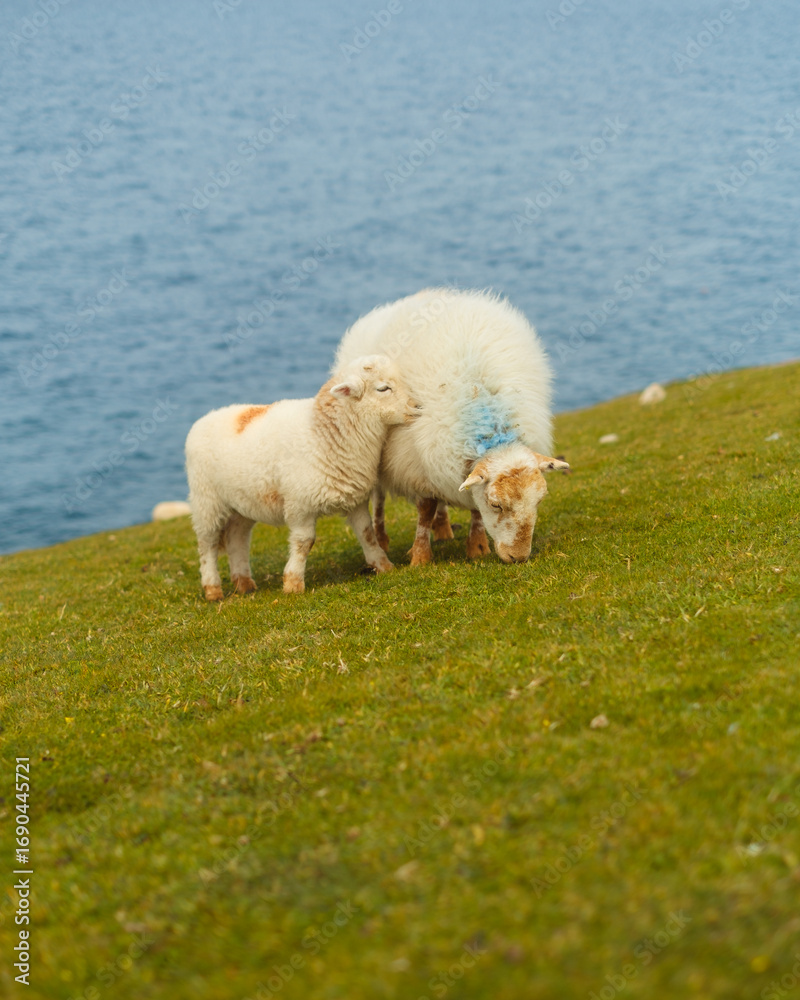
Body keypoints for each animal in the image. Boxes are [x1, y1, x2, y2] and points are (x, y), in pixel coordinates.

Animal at [185, 355, 416, 601]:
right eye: (383, 388)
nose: (417, 405)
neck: (322, 433)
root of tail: (204, 419)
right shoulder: (300, 504)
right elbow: (304, 542)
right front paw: (293, 583)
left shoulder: (355, 499)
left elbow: (367, 533)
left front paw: (383, 565)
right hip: (206, 501)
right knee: (207, 545)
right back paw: (212, 589)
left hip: (241, 504)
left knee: (237, 539)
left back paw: (244, 583)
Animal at [334, 289, 569, 565]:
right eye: (496, 505)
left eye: (539, 501)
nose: (518, 557)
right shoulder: (414, 461)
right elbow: (425, 508)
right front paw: (420, 556)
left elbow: (471, 506)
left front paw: (477, 545)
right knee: (379, 498)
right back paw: (382, 538)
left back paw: (443, 529)